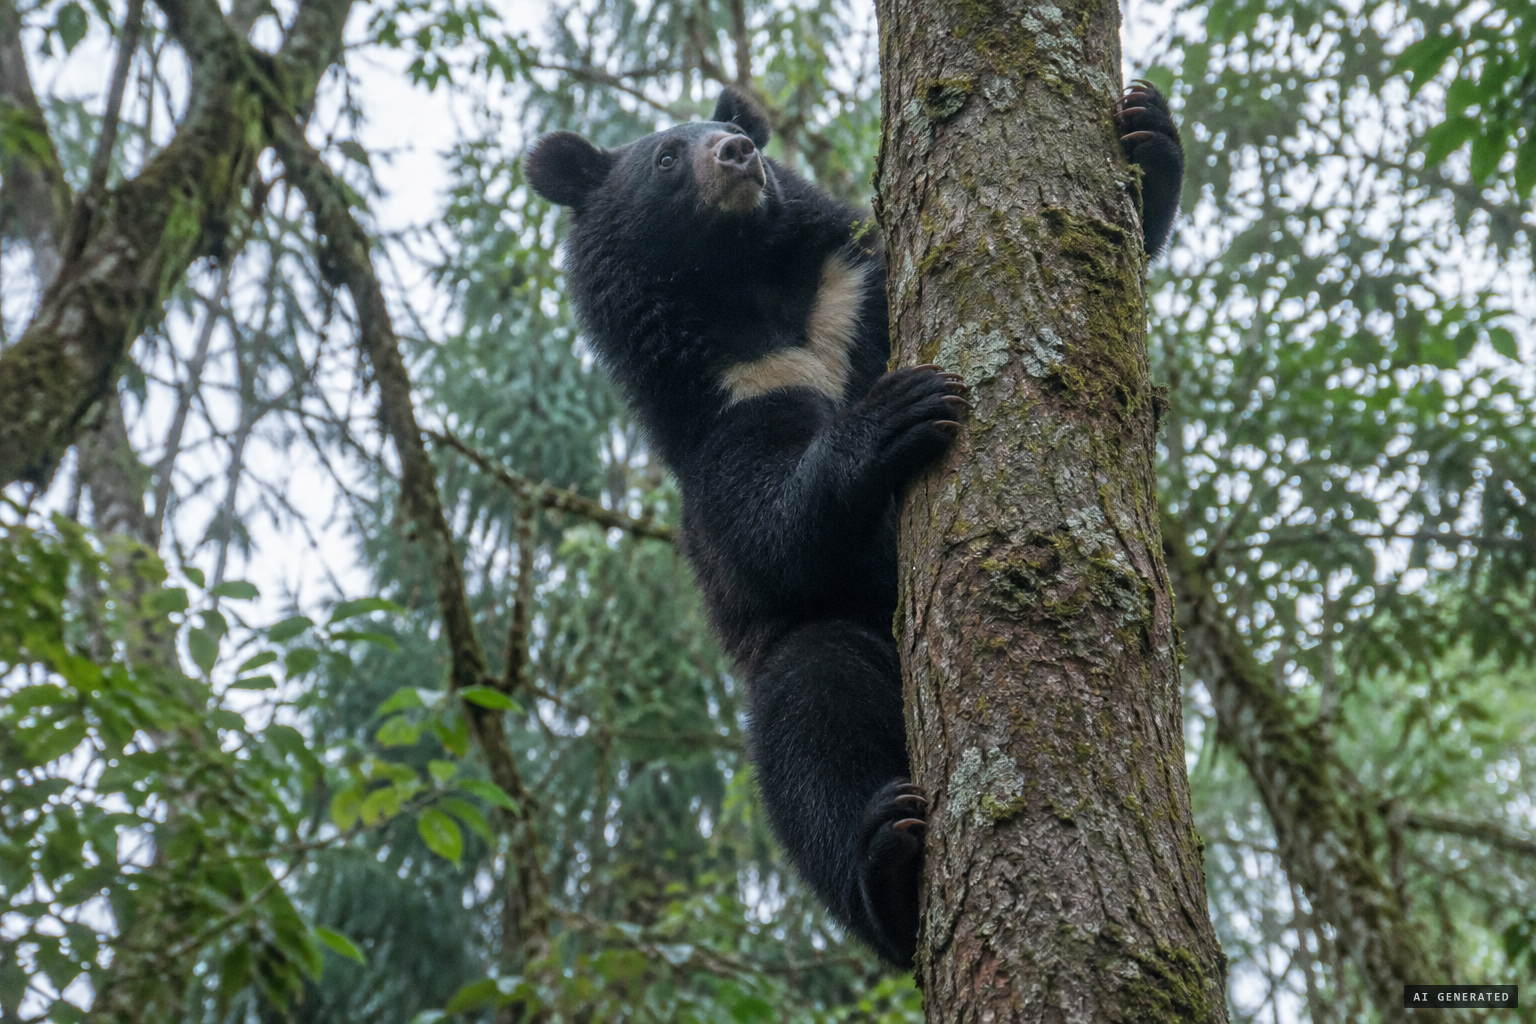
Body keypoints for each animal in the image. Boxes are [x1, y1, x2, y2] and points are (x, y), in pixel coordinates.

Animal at [525, 82, 1184, 966]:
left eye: (727, 130)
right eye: (666, 156)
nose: (738, 155)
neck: (753, 297)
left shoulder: (855, 301)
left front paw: (1149, 131)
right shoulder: (724, 415)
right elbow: (766, 532)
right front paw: (898, 412)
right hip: (832, 654)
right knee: (814, 715)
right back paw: (890, 868)